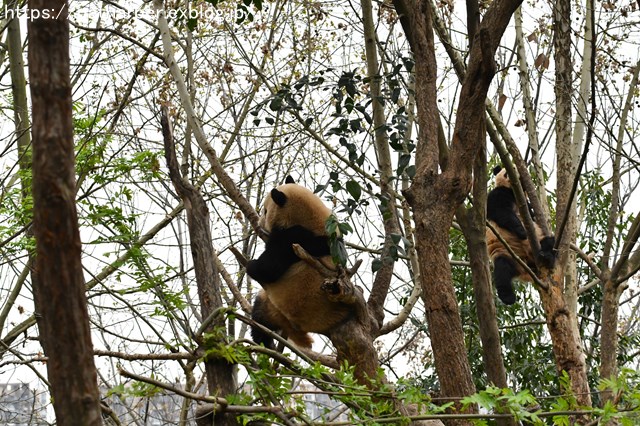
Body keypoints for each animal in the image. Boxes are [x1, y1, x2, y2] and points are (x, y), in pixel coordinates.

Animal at [246, 175, 356, 348]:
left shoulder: (294, 238)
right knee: (259, 316)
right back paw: (264, 342)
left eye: (265, 211)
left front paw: (251, 265)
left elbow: (269, 268)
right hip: (270, 305)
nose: (259, 223)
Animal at [484, 167, 556, 306]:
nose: (513, 177)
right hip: (505, 252)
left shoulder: (525, 204)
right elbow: (501, 211)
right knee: (502, 271)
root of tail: (525, 269)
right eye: (506, 173)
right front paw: (522, 232)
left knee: (550, 242)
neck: (514, 192)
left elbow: (532, 216)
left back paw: (547, 255)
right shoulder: (498, 194)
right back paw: (508, 298)